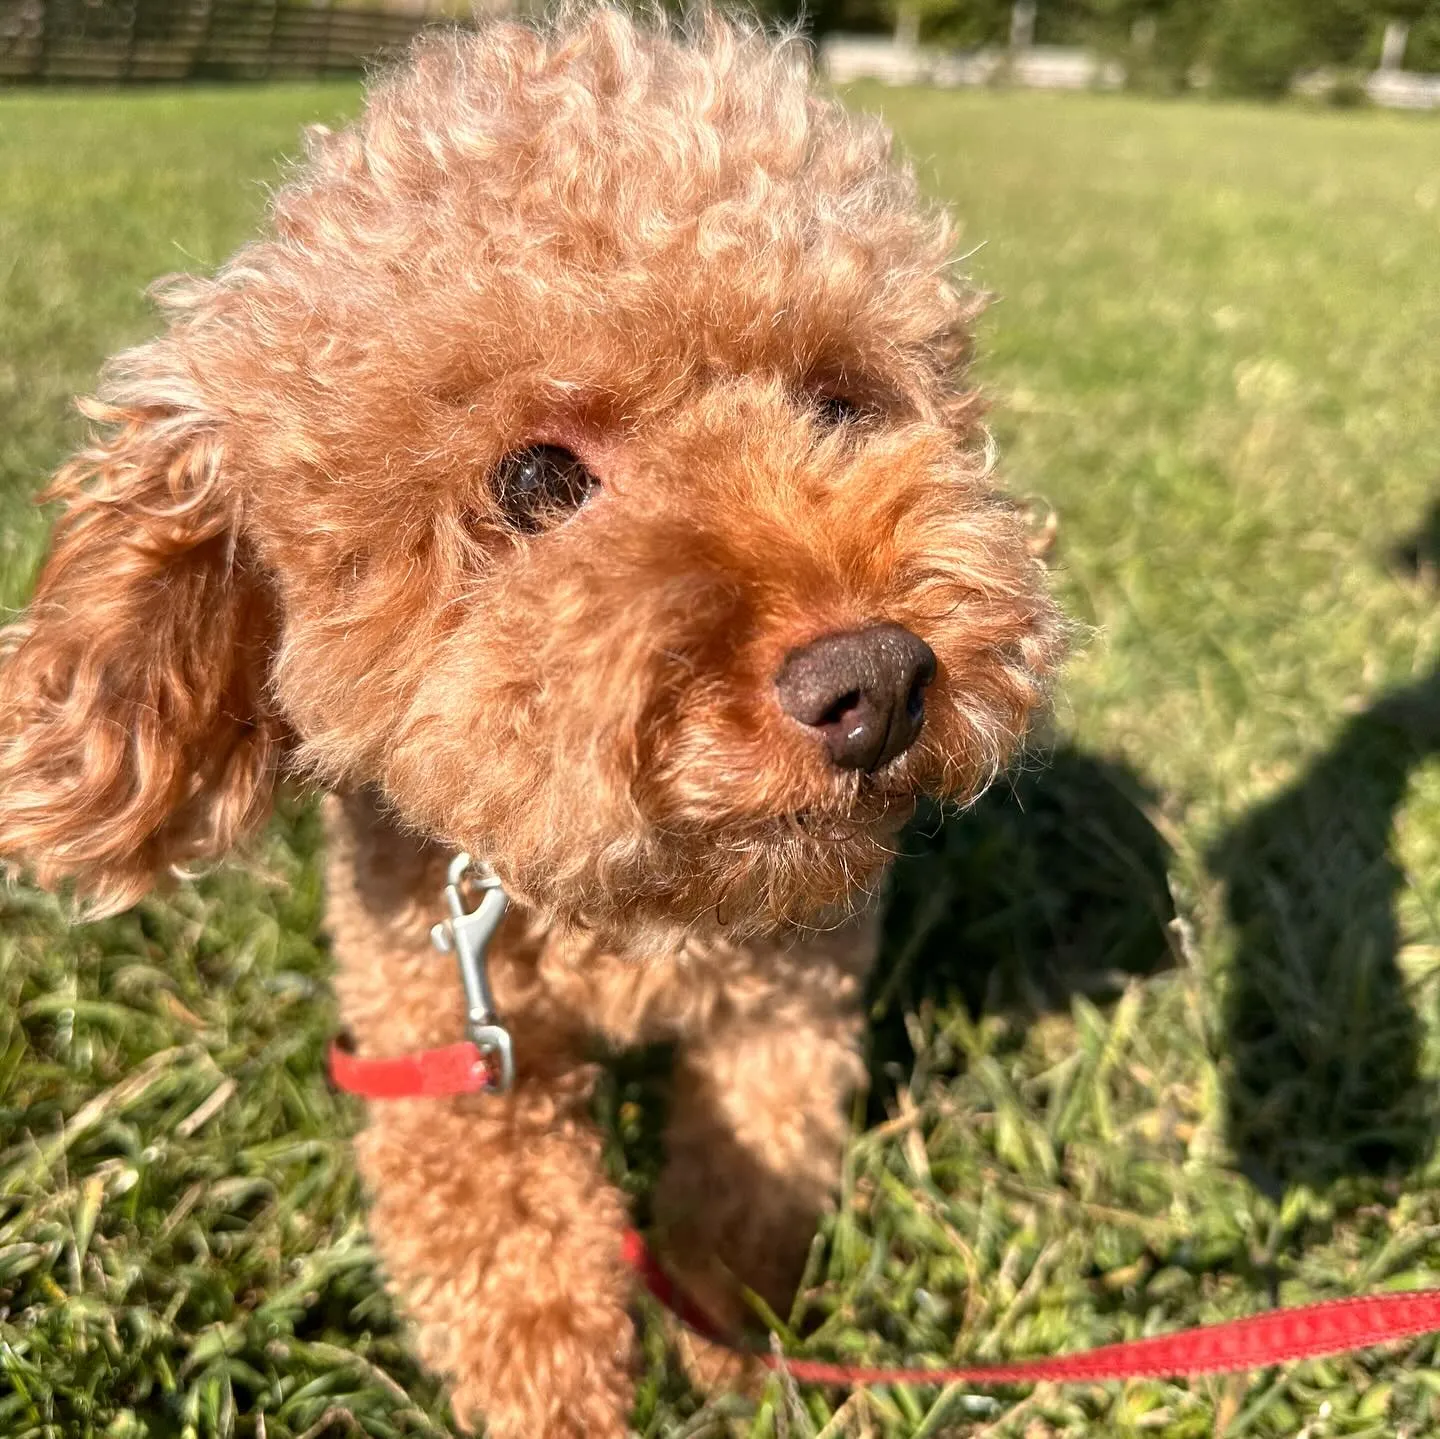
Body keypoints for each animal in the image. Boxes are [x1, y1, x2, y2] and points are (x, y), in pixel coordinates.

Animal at [0, 14, 1059, 1439]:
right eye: (539, 478)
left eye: (838, 404)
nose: (878, 680)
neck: (632, 909)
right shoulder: (448, 1038)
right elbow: (518, 1265)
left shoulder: (790, 1005)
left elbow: (751, 1183)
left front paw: (731, 1349)